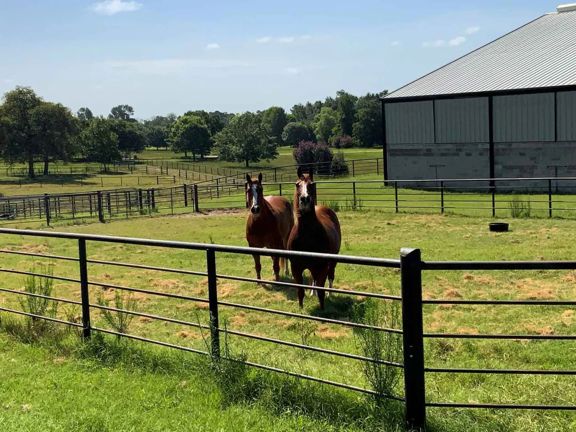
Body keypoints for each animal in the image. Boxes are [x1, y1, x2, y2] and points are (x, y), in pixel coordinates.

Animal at [286, 167, 340, 308]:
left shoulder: (322, 266)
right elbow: (300, 290)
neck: (306, 236)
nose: (304, 199)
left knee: (330, 276)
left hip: (332, 261)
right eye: (297, 184)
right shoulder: (296, 267)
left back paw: (330, 294)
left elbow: (321, 289)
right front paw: (300, 308)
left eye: (312, 184)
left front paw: (322, 308)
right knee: (313, 278)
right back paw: (312, 293)